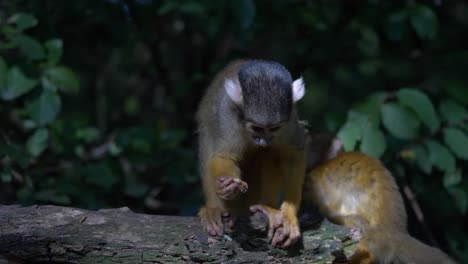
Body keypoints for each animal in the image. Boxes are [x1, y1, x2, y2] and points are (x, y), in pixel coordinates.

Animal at [197, 59, 308, 248]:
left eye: (273, 128)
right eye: (257, 128)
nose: (263, 140)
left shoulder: (289, 119)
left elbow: (292, 156)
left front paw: (288, 215)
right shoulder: (227, 114)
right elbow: (223, 156)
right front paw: (228, 186)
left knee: (270, 153)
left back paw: (266, 208)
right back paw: (214, 210)